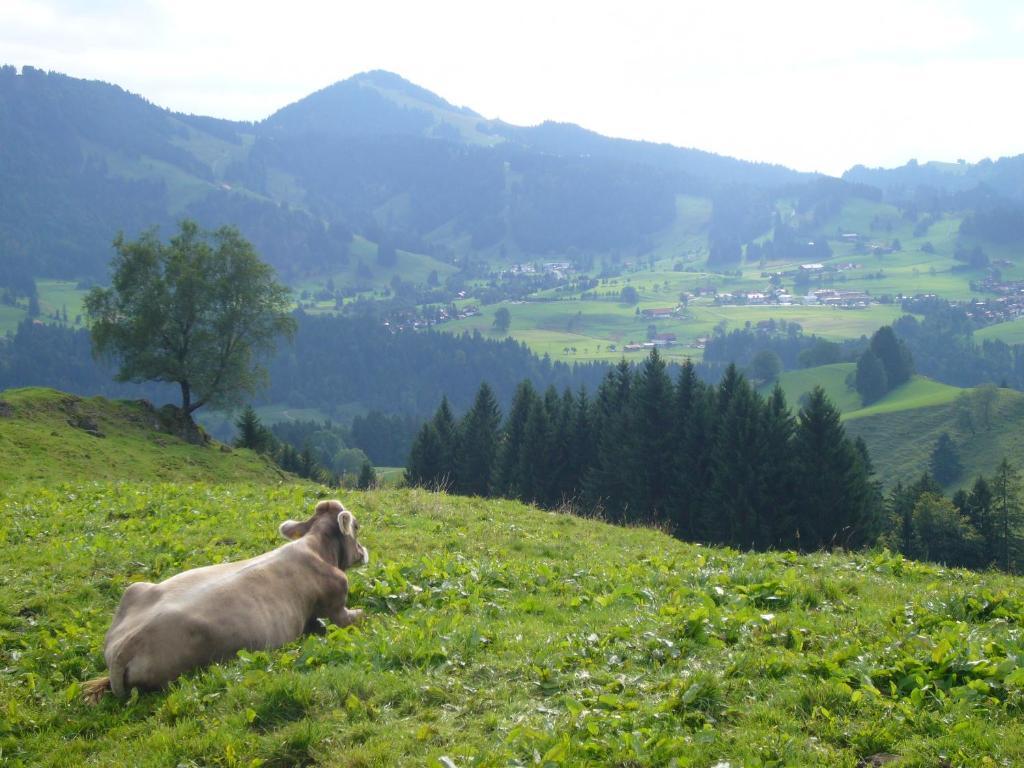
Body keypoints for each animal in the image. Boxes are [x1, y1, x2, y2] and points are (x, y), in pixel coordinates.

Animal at [81, 499, 368, 704]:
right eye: (356, 527)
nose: (364, 552)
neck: (317, 549)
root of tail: (121, 649)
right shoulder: (338, 608)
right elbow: (357, 616)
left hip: (135, 588)